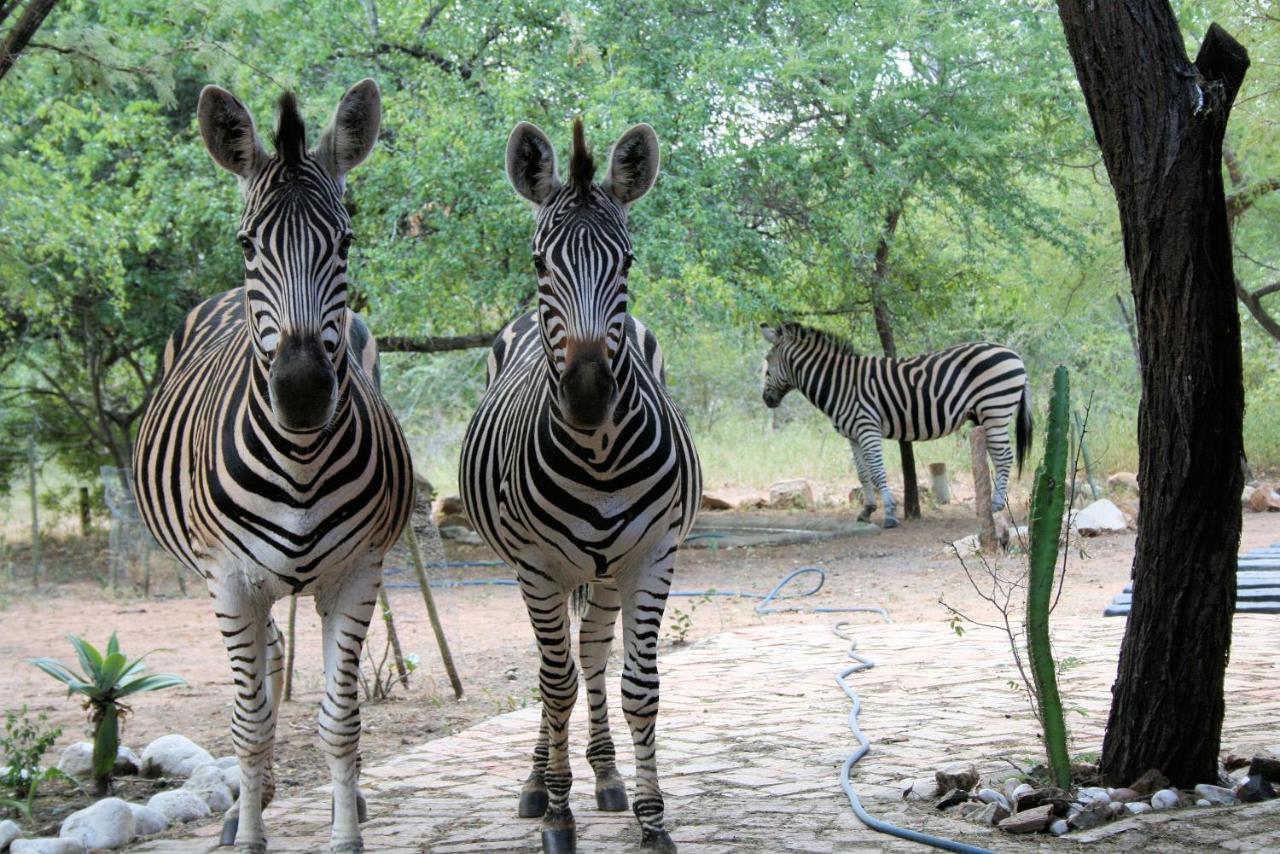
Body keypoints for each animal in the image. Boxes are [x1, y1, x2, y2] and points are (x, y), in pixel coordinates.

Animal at [130, 78, 412, 850]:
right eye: (246, 242)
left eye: (345, 241)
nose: (304, 390)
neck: (301, 459)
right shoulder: (229, 578)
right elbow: (251, 723)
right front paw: (252, 830)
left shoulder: (358, 572)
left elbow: (340, 718)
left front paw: (346, 832)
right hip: (230, 579)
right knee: (262, 672)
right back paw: (240, 810)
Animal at [460, 118, 701, 854]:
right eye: (541, 263)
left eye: (628, 263)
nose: (590, 396)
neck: (598, 457)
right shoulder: (538, 567)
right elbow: (555, 686)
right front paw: (558, 815)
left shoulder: (653, 556)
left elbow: (640, 687)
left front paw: (653, 820)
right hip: (538, 570)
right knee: (554, 668)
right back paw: (540, 784)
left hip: (606, 570)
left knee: (591, 649)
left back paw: (605, 775)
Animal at [757, 323, 1029, 530]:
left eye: (768, 362)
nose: (766, 399)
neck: (839, 383)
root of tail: (1013, 353)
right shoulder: (853, 435)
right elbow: (863, 473)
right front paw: (867, 510)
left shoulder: (867, 427)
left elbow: (878, 471)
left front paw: (888, 513)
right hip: (988, 416)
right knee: (997, 455)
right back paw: (995, 500)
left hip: (995, 409)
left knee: (1004, 456)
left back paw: (996, 504)